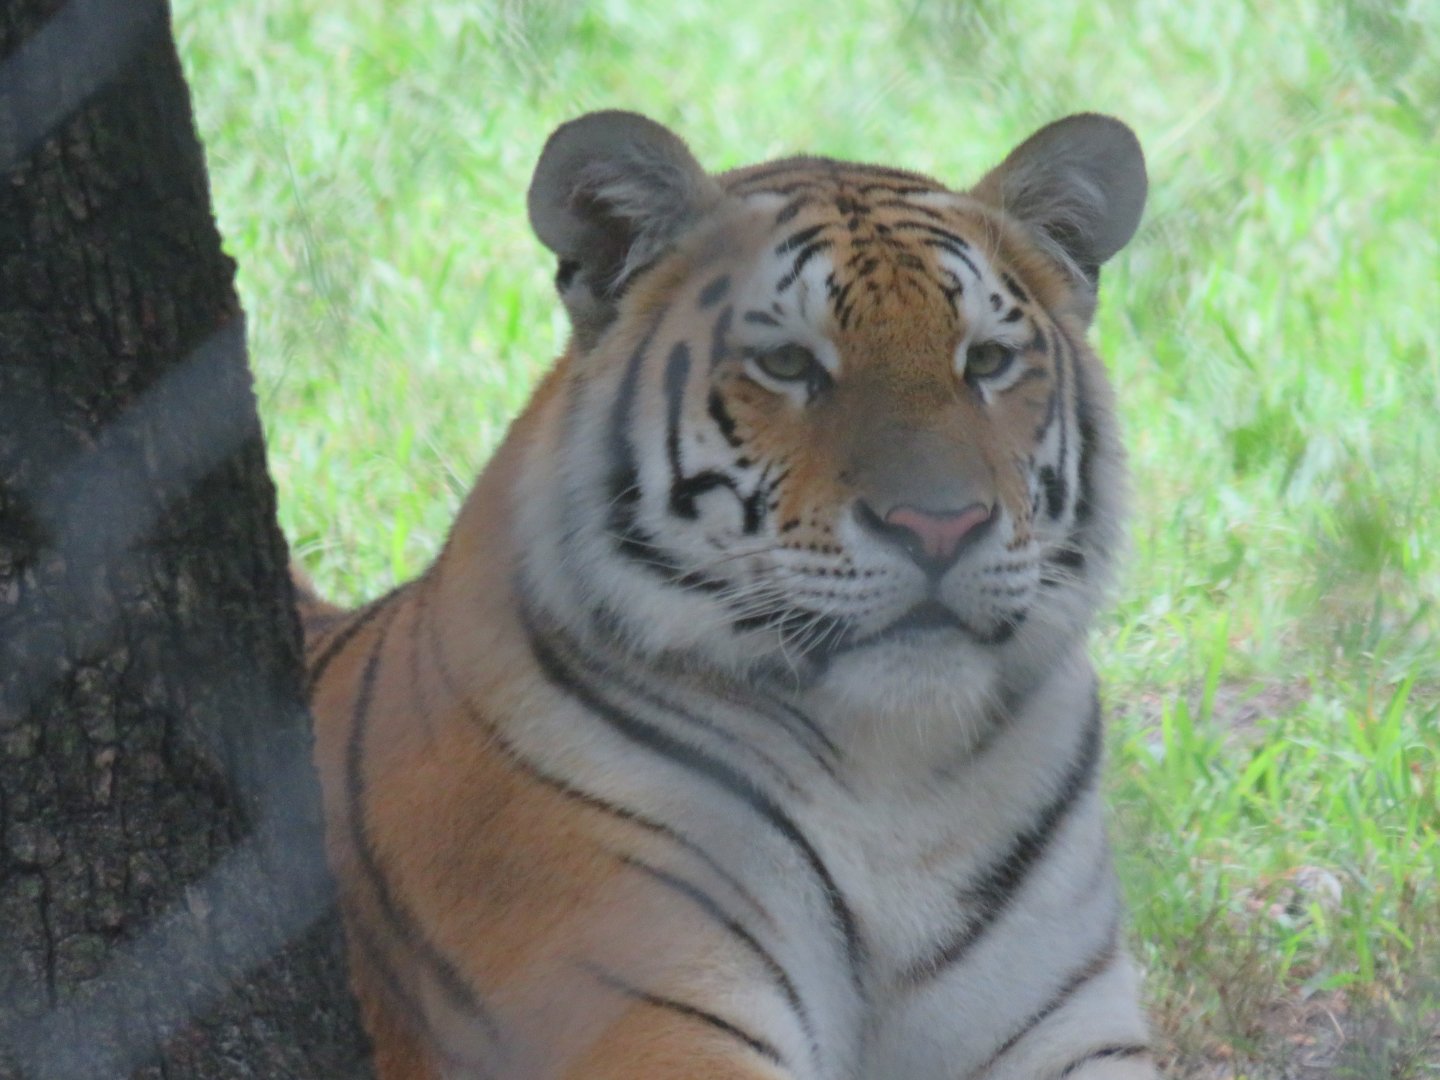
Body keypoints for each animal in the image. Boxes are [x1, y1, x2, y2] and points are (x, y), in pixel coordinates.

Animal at [299, 109, 1155, 1080]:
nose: (939, 526)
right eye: (787, 362)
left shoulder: (1071, 1025)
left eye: (988, 361)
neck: (898, 780)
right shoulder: (650, 1009)